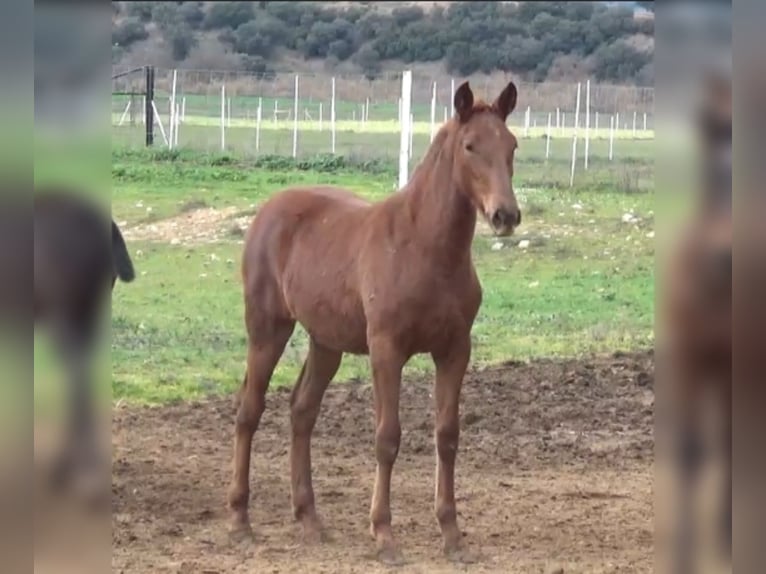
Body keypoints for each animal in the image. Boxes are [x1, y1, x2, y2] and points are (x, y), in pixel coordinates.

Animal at [225, 82, 520, 568]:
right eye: (470, 146)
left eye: (512, 145)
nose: (506, 216)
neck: (426, 247)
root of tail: (269, 209)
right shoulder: (386, 349)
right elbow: (387, 437)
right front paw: (384, 536)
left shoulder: (455, 350)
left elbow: (447, 435)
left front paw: (452, 535)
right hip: (267, 328)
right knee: (250, 410)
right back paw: (240, 521)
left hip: (326, 342)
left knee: (302, 411)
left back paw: (310, 520)